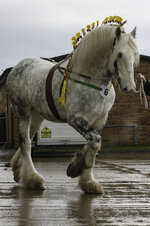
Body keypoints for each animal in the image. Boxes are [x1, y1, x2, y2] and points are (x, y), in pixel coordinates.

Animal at [6, 23, 139, 193]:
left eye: (135, 54)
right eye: (120, 54)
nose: (130, 87)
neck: (92, 81)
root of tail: (16, 68)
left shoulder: (100, 120)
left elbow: (93, 144)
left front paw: (86, 179)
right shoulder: (76, 118)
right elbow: (95, 142)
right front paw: (78, 169)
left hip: (36, 116)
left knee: (27, 139)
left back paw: (18, 171)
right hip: (22, 111)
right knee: (25, 143)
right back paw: (33, 179)